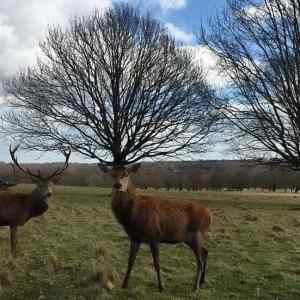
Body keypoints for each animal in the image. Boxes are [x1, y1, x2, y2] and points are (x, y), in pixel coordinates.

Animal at [99, 163, 212, 292]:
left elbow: (157, 263)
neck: (133, 217)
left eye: (126, 174)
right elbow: (130, 261)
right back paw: (202, 281)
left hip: (196, 235)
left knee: (199, 261)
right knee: (205, 251)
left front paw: (161, 287)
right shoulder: (135, 238)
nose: (117, 185)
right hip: (192, 238)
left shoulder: (154, 236)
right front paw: (124, 284)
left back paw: (195, 287)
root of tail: (210, 215)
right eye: (111, 174)